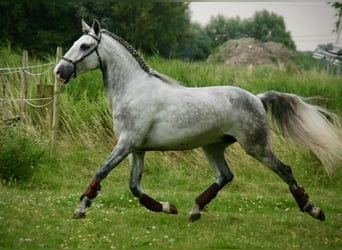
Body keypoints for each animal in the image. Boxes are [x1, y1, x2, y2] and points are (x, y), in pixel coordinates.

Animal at [54, 20, 340, 223]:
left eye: (84, 46)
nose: (60, 71)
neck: (133, 90)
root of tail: (257, 99)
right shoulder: (137, 149)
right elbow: (135, 187)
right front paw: (168, 208)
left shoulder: (126, 144)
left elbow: (101, 172)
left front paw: (80, 209)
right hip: (213, 146)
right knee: (225, 176)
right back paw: (194, 210)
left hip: (256, 146)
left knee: (285, 170)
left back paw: (313, 210)